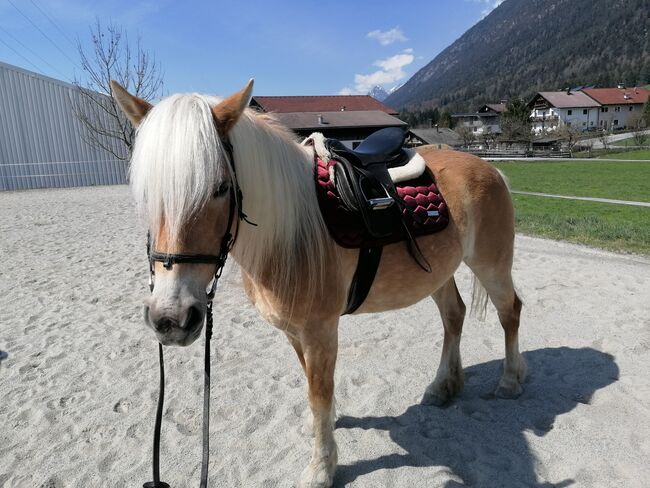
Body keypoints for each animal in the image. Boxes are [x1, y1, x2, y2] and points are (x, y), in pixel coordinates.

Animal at [110, 78, 528, 486]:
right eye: (146, 194)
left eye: (220, 188)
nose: (171, 319)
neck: (288, 233)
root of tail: (490, 169)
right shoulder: (295, 333)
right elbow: (313, 389)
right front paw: (326, 432)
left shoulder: (320, 331)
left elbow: (319, 392)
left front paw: (321, 468)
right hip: (439, 273)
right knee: (454, 316)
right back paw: (444, 386)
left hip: (490, 264)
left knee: (510, 311)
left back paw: (510, 382)